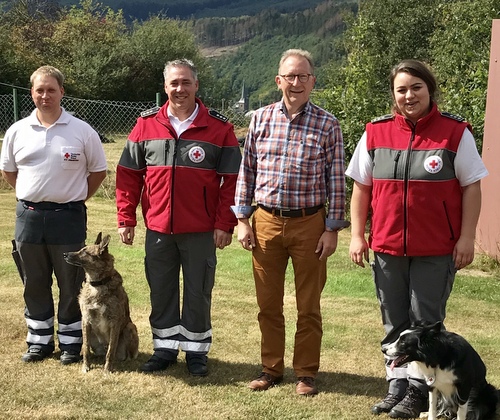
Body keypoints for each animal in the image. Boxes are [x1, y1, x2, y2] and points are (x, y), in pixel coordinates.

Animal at [64, 233, 141, 374]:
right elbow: (86, 348)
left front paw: (107, 370)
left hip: (130, 327)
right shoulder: (85, 320)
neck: (98, 284)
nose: (65, 254)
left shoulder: (115, 322)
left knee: (123, 354)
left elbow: (110, 351)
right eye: (81, 249)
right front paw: (86, 367)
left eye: (85, 252)